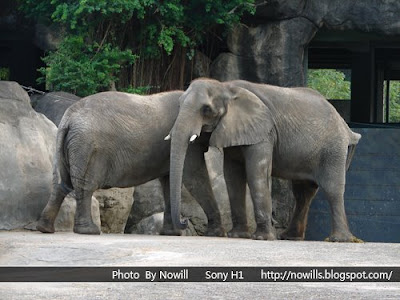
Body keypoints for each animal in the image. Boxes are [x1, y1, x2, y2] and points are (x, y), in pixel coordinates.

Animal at [36, 90, 225, 236]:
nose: (185, 221)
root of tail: (68, 118)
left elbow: (169, 182)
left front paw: (172, 234)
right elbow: (193, 174)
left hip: (69, 144)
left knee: (61, 183)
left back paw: (45, 228)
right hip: (86, 146)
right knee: (84, 186)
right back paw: (89, 231)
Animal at [169, 77, 362, 241]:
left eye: (206, 109)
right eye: (178, 105)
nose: (184, 222)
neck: (226, 87)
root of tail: (347, 129)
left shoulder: (263, 132)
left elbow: (256, 172)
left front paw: (262, 238)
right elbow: (232, 176)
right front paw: (238, 235)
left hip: (333, 148)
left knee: (332, 188)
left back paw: (339, 239)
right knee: (303, 192)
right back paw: (290, 237)